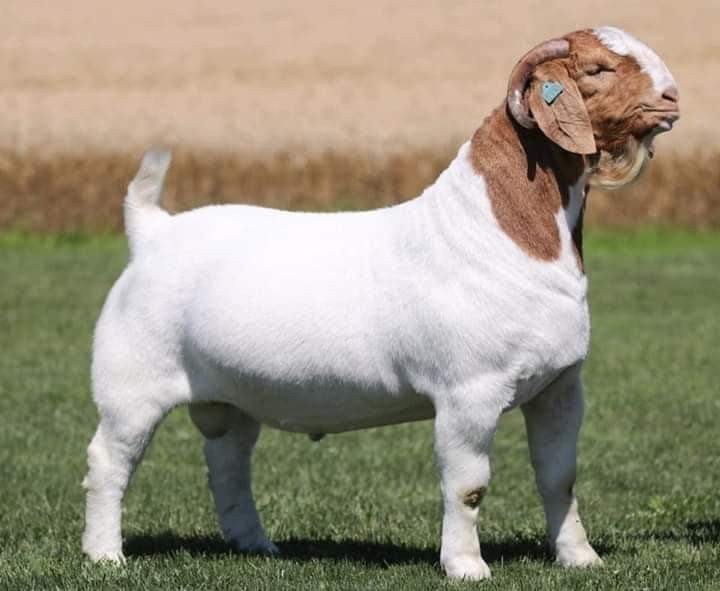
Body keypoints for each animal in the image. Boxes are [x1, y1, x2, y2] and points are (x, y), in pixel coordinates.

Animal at [82, 26, 679, 580]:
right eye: (597, 69)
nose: (671, 96)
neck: (494, 230)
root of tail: (153, 231)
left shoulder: (560, 388)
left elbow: (560, 478)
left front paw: (580, 559)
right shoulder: (469, 393)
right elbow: (469, 487)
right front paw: (467, 567)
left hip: (234, 395)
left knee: (228, 462)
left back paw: (255, 544)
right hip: (131, 382)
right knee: (109, 461)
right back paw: (105, 555)